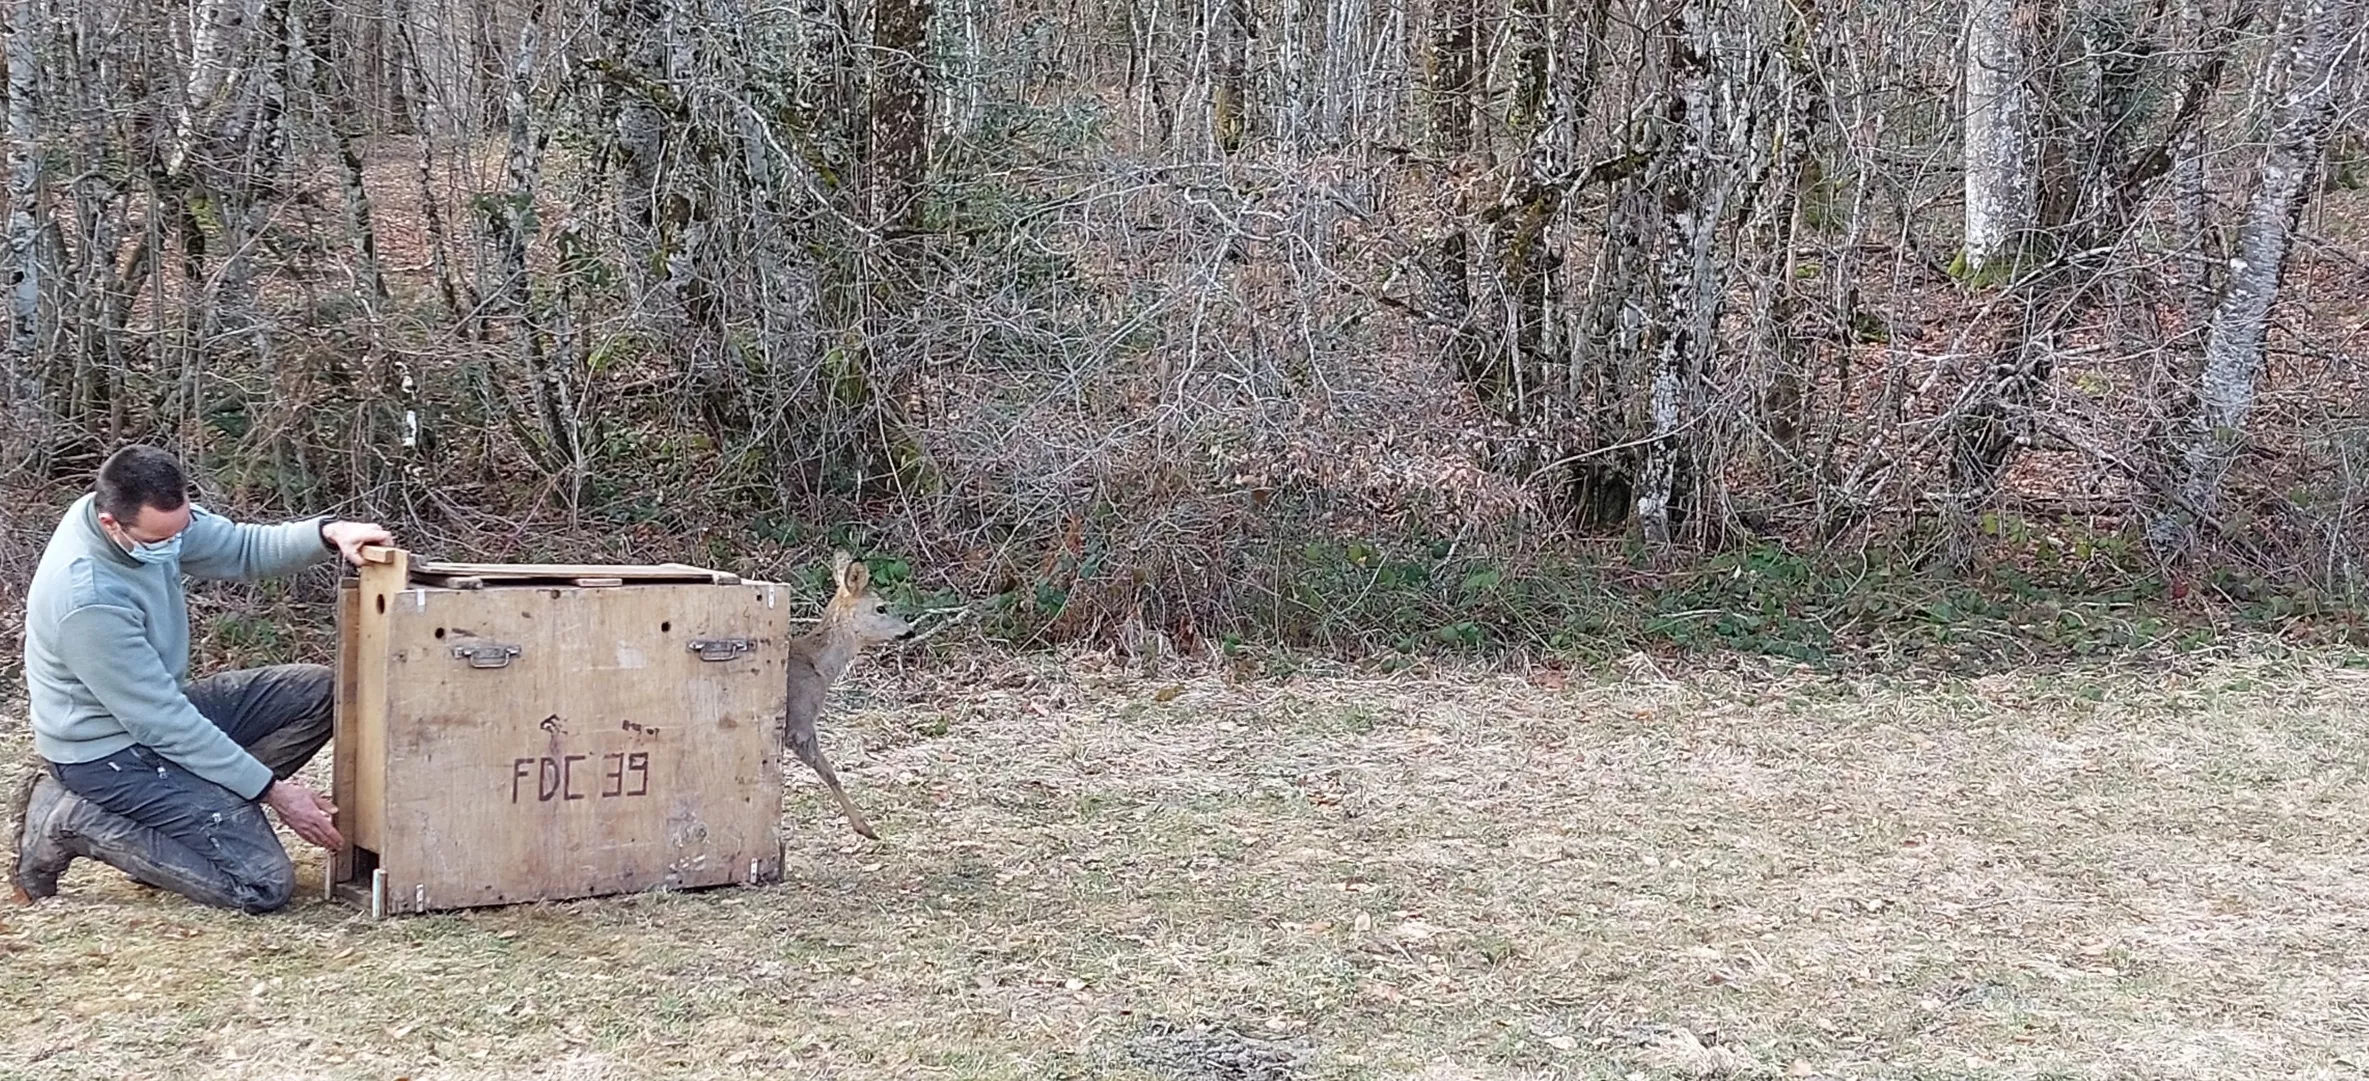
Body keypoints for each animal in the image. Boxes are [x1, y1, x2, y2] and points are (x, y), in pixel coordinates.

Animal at [786, 552, 914, 839]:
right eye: (881, 608)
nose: (909, 630)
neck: (819, 667)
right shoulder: (799, 721)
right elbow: (829, 773)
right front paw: (866, 828)